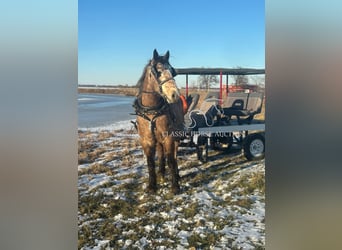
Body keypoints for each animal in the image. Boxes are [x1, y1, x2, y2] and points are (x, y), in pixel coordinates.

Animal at [133, 48, 183, 193]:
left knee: (174, 155)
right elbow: (150, 162)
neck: (152, 111)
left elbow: (171, 159)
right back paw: (161, 172)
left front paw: (175, 186)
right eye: (158, 71)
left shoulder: (169, 137)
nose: (174, 95)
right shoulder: (147, 140)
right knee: (161, 153)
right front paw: (152, 185)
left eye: (172, 71)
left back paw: (176, 174)